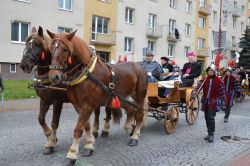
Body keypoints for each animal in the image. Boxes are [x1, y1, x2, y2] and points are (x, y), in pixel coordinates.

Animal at [46, 30, 147, 165]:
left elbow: (78, 129)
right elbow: (86, 126)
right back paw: (129, 128)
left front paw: (72, 154)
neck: (87, 74)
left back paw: (135, 136)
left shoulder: (87, 106)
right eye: (51, 49)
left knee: (139, 114)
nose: (54, 76)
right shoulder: (79, 106)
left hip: (139, 96)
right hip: (122, 97)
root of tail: (140, 67)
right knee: (131, 110)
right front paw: (89, 145)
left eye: (65, 49)